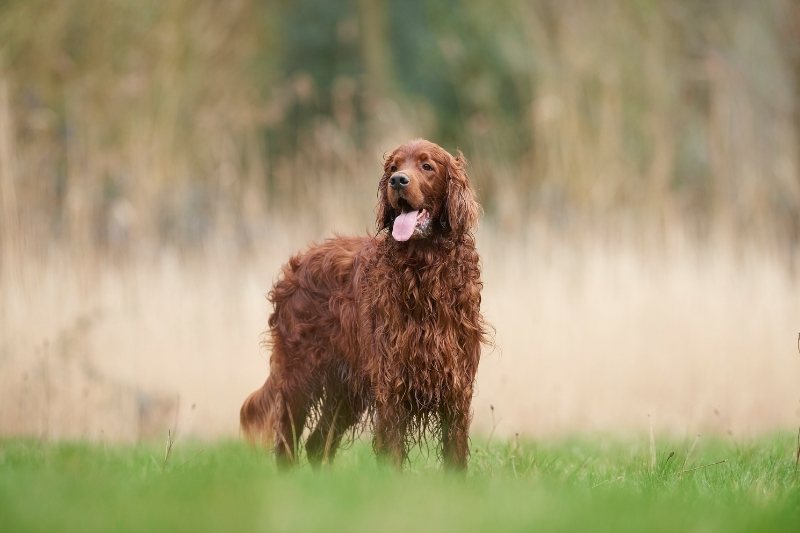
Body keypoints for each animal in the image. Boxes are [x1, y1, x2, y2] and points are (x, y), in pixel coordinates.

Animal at [238, 139, 488, 468]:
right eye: (394, 167)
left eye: (427, 166)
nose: (398, 181)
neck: (423, 272)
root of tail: (298, 264)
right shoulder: (391, 387)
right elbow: (392, 452)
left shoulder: (456, 388)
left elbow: (455, 459)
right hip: (299, 377)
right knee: (287, 445)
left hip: (346, 389)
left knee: (317, 444)